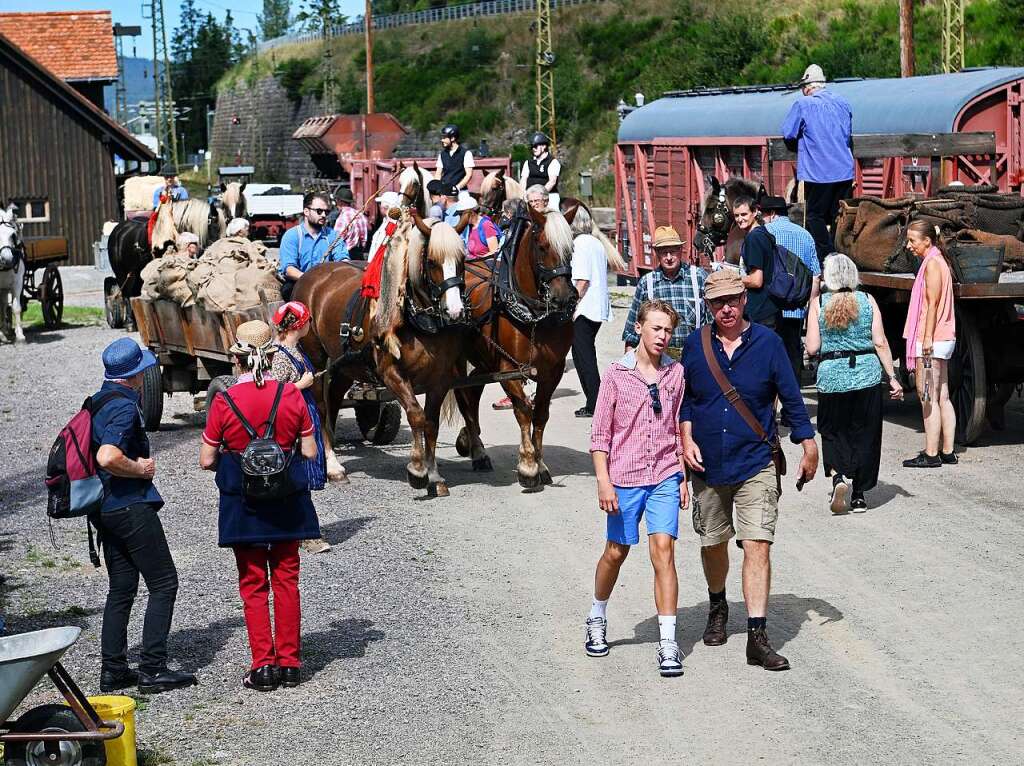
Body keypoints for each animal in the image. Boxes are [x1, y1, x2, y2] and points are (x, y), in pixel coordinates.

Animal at [296, 197, 468, 497]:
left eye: (462, 260)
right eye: (432, 261)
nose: (456, 311)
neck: (416, 318)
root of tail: (313, 273)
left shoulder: (440, 379)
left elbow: (431, 423)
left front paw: (434, 474)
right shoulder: (391, 373)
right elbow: (416, 415)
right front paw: (417, 470)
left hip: (346, 364)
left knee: (334, 399)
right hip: (314, 360)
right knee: (321, 404)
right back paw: (332, 466)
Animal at [452, 200, 581, 487]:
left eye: (572, 249)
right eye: (542, 246)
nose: (565, 298)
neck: (534, 315)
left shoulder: (552, 370)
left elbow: (540, 413)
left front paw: (541, 464)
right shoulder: (508, 368)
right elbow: (523, 410)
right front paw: (528, 467)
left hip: (483, 359)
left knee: (472, 390)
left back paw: (472, 441)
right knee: (462, 395)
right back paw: (477, 450)